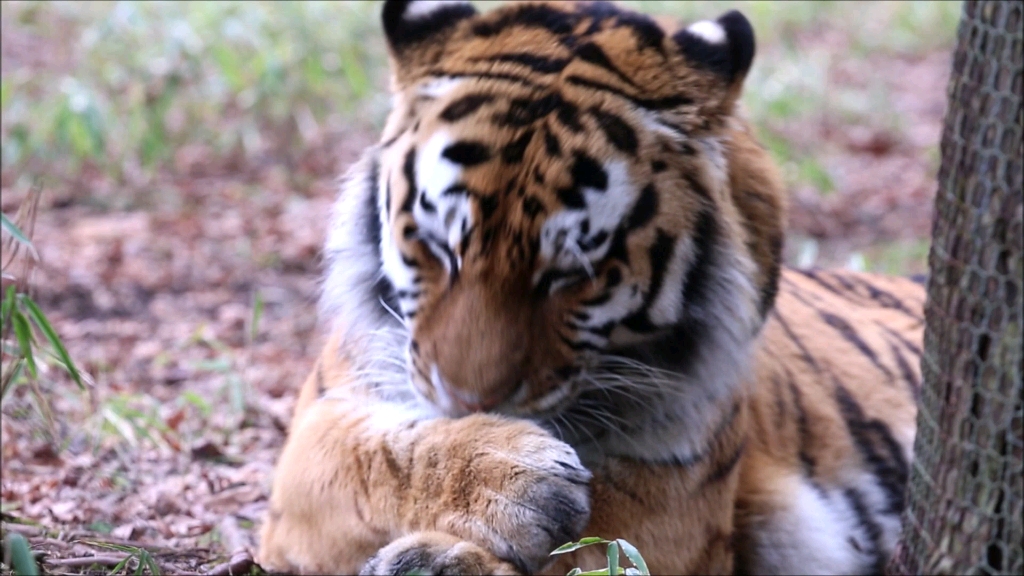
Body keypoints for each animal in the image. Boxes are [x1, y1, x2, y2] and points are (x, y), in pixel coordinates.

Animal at [258, 2, 929, 569]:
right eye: (441, 247)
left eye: (569, 274)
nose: (468, 404)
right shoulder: (314, 433)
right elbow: (377, 452)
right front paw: (513, 479)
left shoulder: (676, 498)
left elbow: (596, 548)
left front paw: (448, 554)